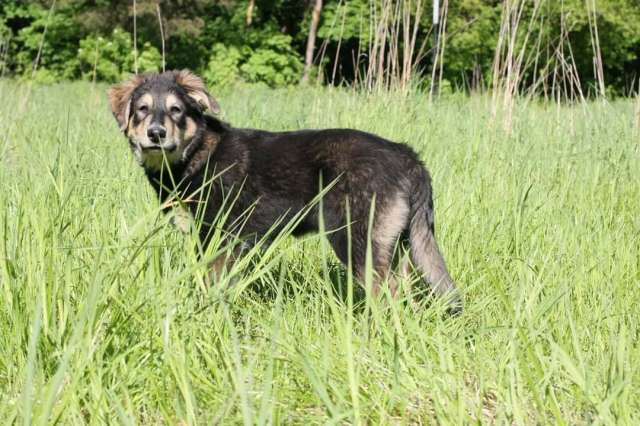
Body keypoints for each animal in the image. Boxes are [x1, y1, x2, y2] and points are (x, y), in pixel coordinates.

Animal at [109, 69, 460, 310]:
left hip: (358, 243)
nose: (156, 133)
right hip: (396, 245)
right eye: (141, 109)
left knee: (388, 296)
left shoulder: (220, 241)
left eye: (176, 110)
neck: (196, 154)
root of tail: (408, 156)